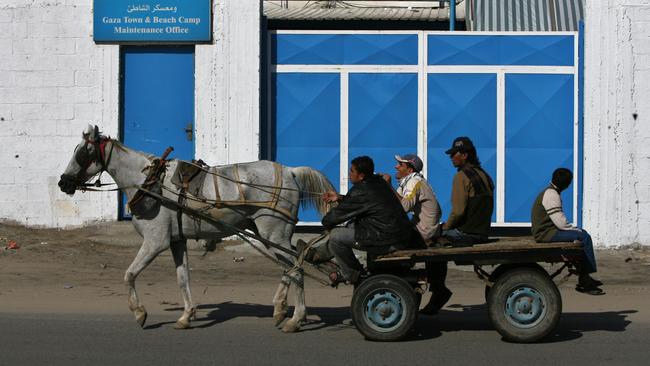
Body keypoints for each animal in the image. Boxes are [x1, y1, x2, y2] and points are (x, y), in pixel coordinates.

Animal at [57, 126, 334, 332]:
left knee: (296, 269)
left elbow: (129, 274)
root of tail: (290, 171)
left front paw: (139, 312)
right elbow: (183, 278)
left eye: (83, 153)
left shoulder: (155, 241)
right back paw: (279, 308)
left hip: (274, 234)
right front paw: (186, 316)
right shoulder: (176, 240)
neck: (149, 182)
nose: (63, 183)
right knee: (288, 269)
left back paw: (295, 319)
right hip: (269, 236)